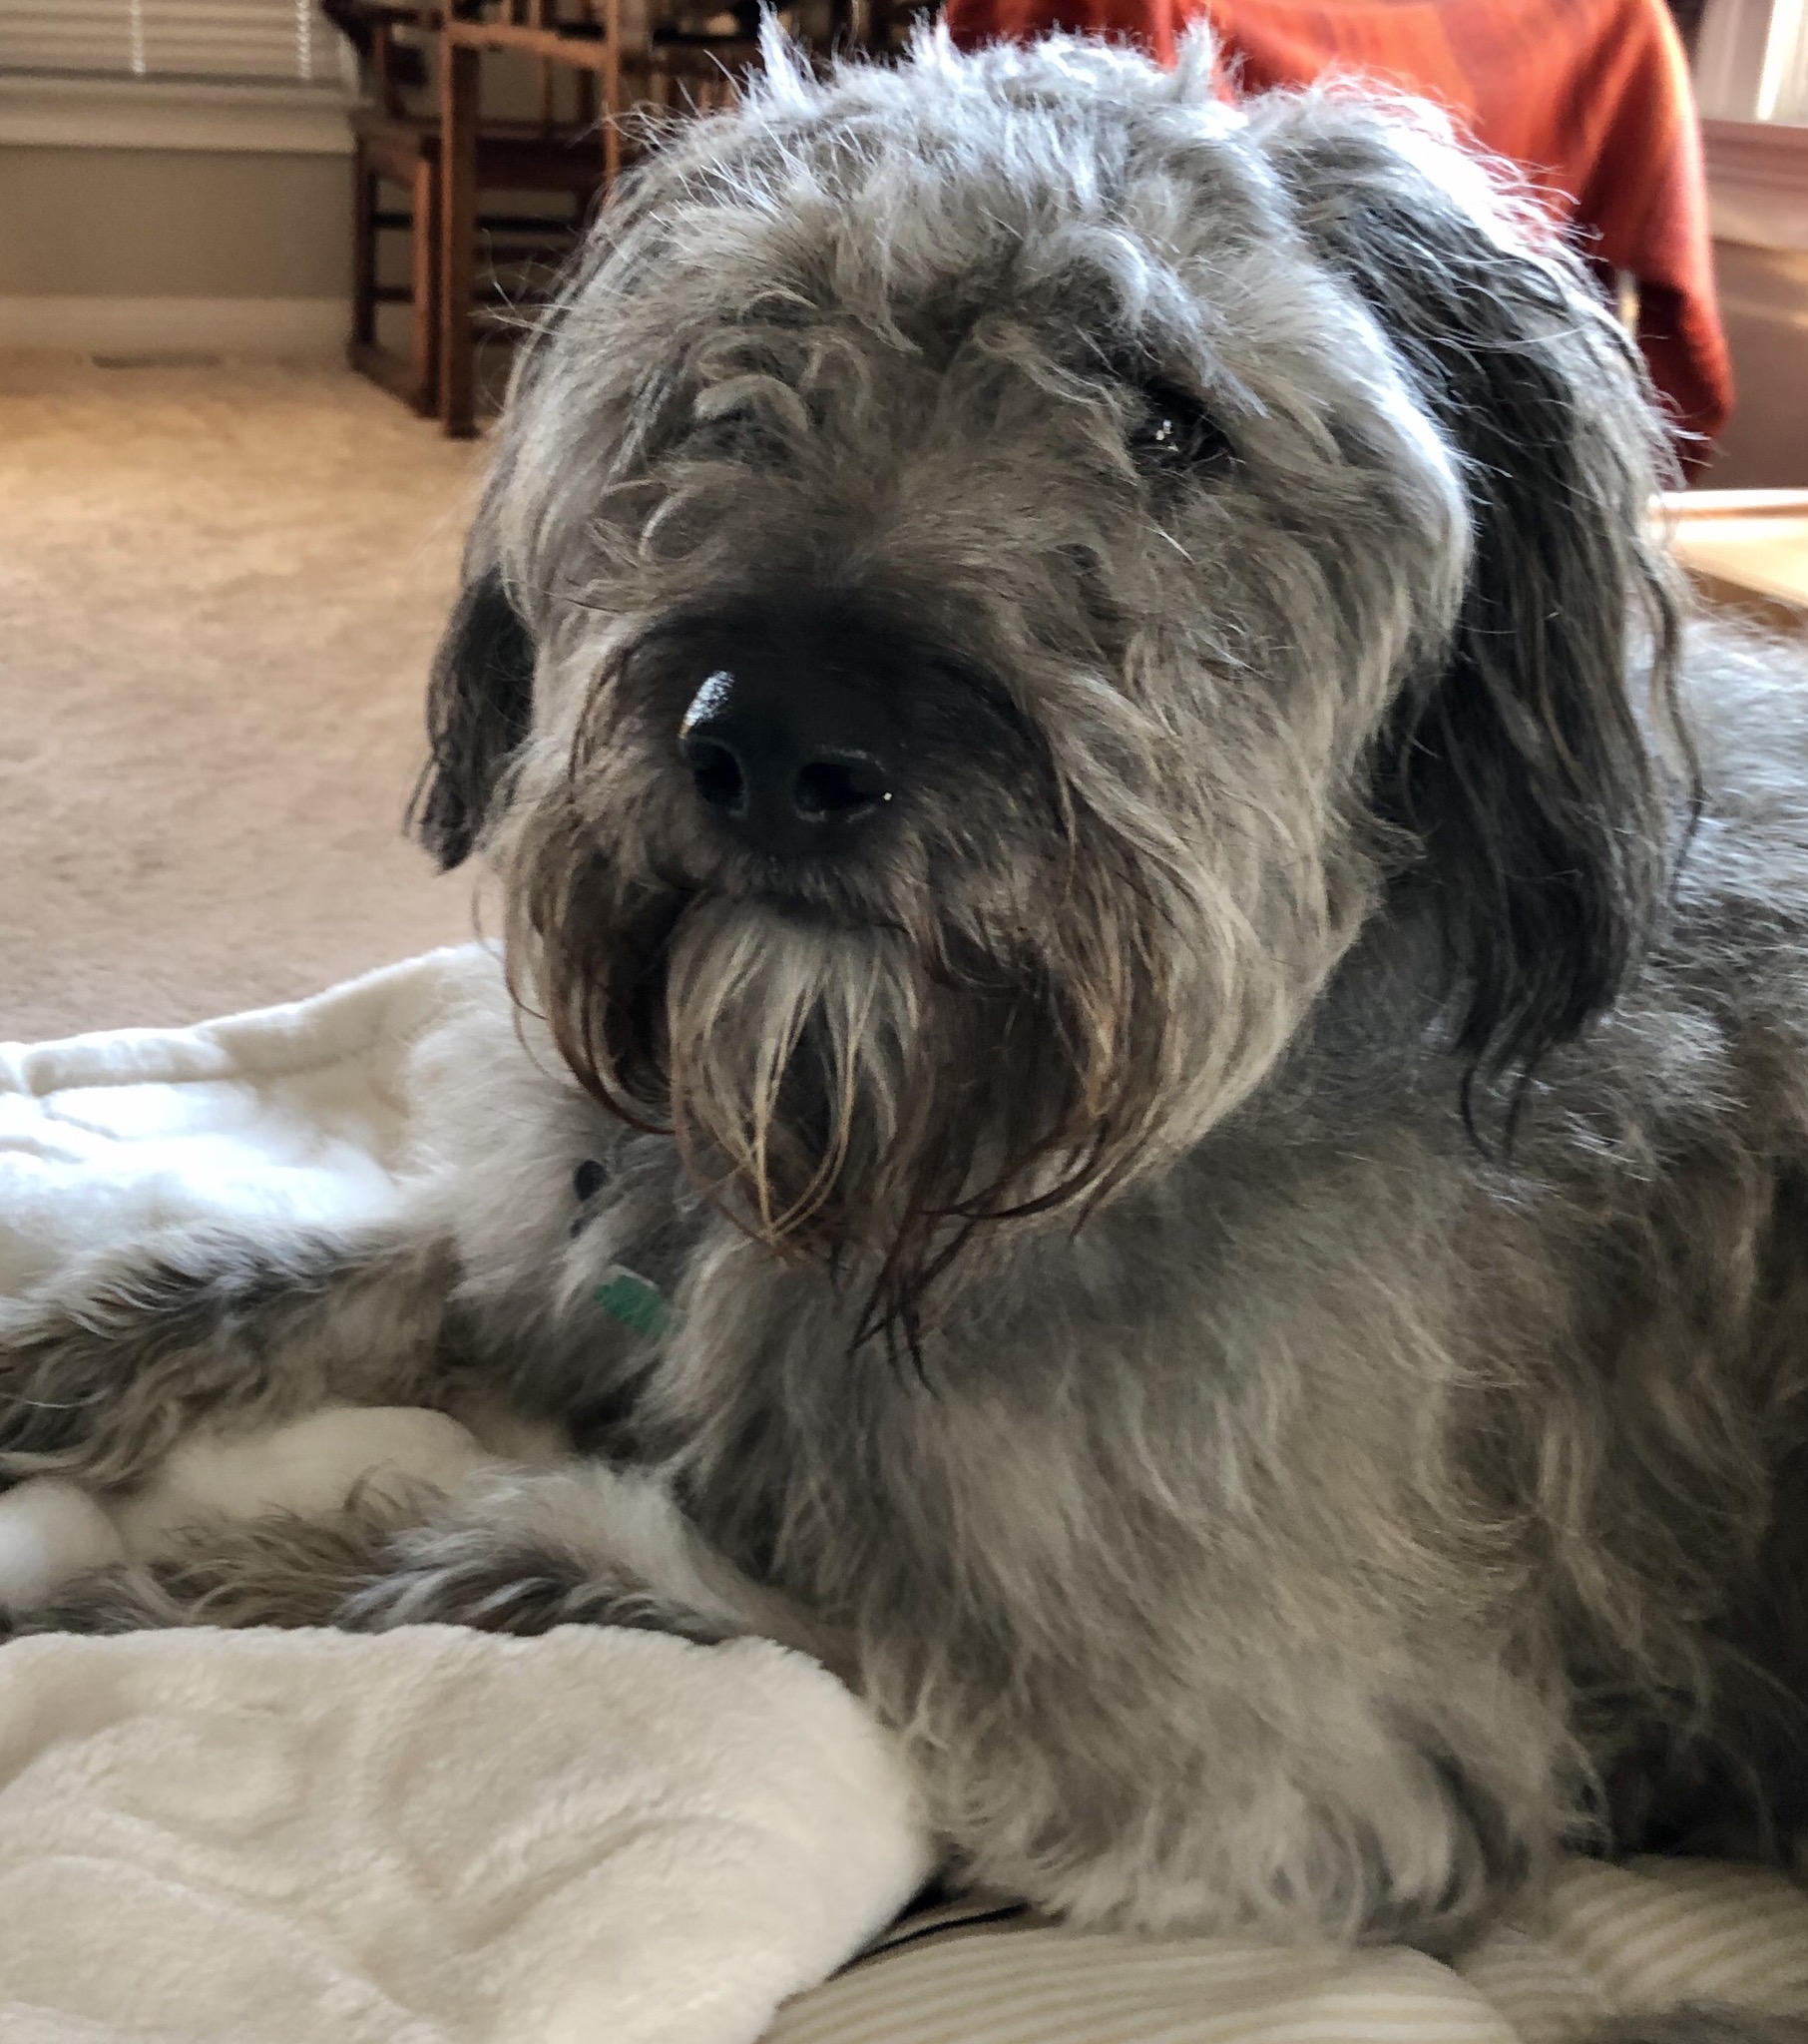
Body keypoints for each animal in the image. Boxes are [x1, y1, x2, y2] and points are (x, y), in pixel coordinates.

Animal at [3, 24, 1806, 1988]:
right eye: (738, 361)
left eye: (1169, 418)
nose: (772, 742)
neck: (890, 1154)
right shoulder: (581, 1235)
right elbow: (312, 1262)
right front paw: (58, 1352)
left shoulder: (1242, 1770)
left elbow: (521, 1563)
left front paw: (137, 1597)